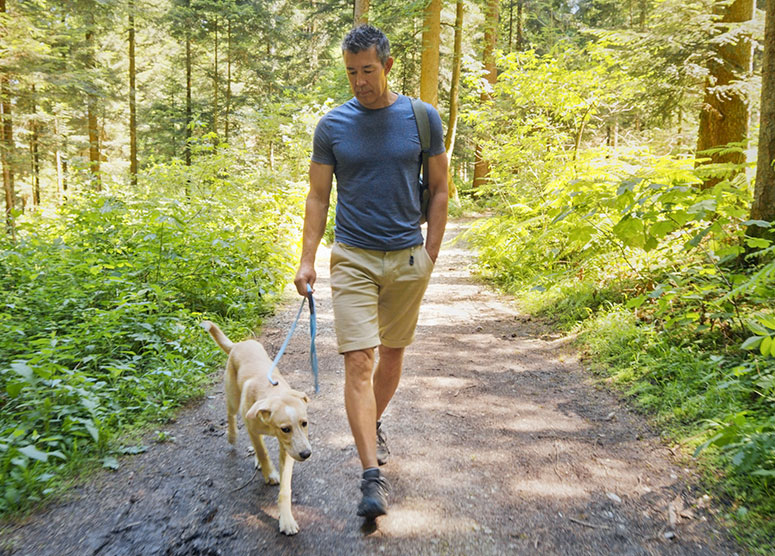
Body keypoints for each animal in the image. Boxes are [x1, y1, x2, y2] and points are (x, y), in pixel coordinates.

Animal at [200, 322, 312, 536]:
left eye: (304, 423)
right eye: (285, 428)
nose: (306, 454)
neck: (272, 392)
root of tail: (239, 344)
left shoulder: (287, 449)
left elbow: (285, 487)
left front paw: (286, 519)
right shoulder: (254, 428)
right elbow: (262, 450)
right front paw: (269, 473)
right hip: (233, 398)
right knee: (231, 415)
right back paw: (232, 436)